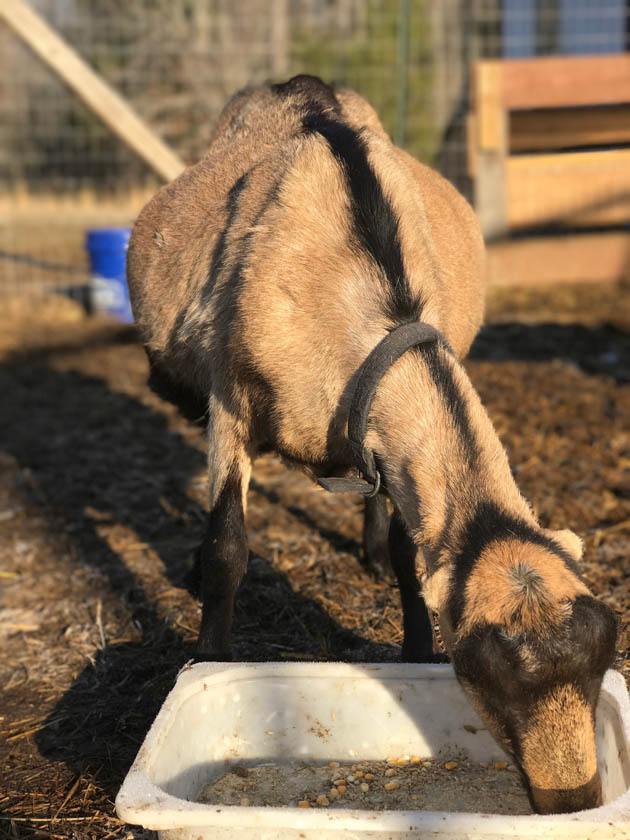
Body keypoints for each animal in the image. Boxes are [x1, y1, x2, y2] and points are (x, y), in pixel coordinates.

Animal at [127, 74, 616, 812]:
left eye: (602, 661)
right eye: (486, 673)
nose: (572, 801)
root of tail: (299, 85)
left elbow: (412, 556)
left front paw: (413, 647)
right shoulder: (229, 400)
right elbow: (227, 547)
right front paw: (210, 658)